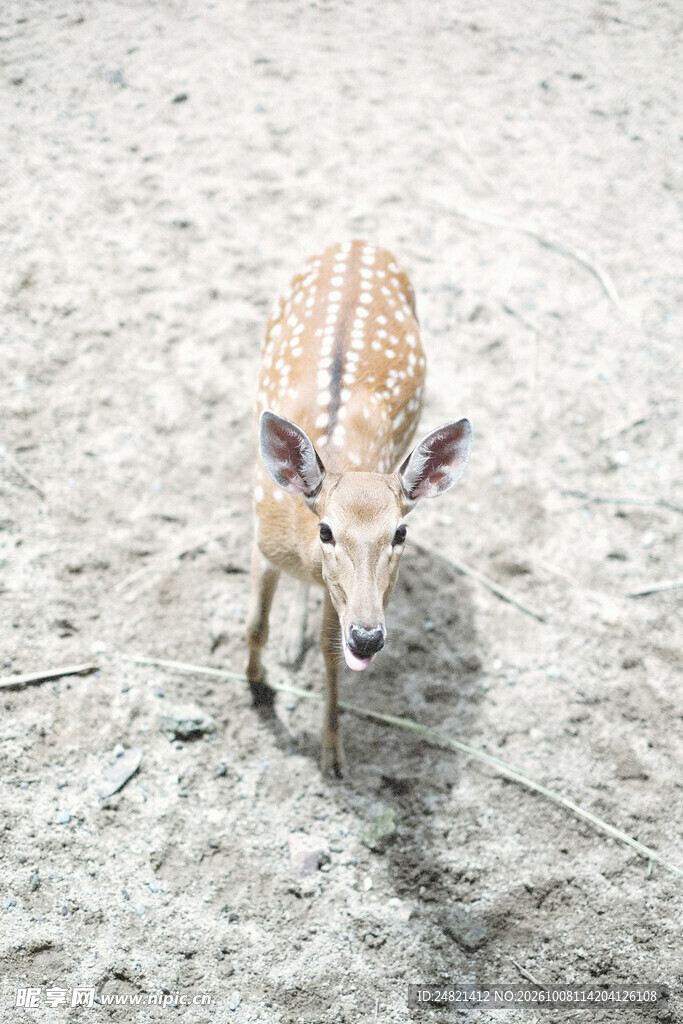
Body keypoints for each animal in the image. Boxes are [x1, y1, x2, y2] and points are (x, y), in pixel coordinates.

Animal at [246, 241, 472, 777]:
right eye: (326, 531)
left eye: (401, 533)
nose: (368, 638)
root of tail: (357, 242)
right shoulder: (260, 540)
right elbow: (255, 624)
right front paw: (257, 687)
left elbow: (330, 653)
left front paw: (333, 753)